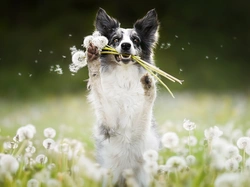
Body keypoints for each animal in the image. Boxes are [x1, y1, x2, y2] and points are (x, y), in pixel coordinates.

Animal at [87, 8, 159, 186]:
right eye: (115, 39)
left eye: (135, 40)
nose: (126, 45)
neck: (125, 80)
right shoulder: (110, 124)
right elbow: (97, 84)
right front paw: (92, 60)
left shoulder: (141, 130)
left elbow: (148, 102)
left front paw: (150, 83)